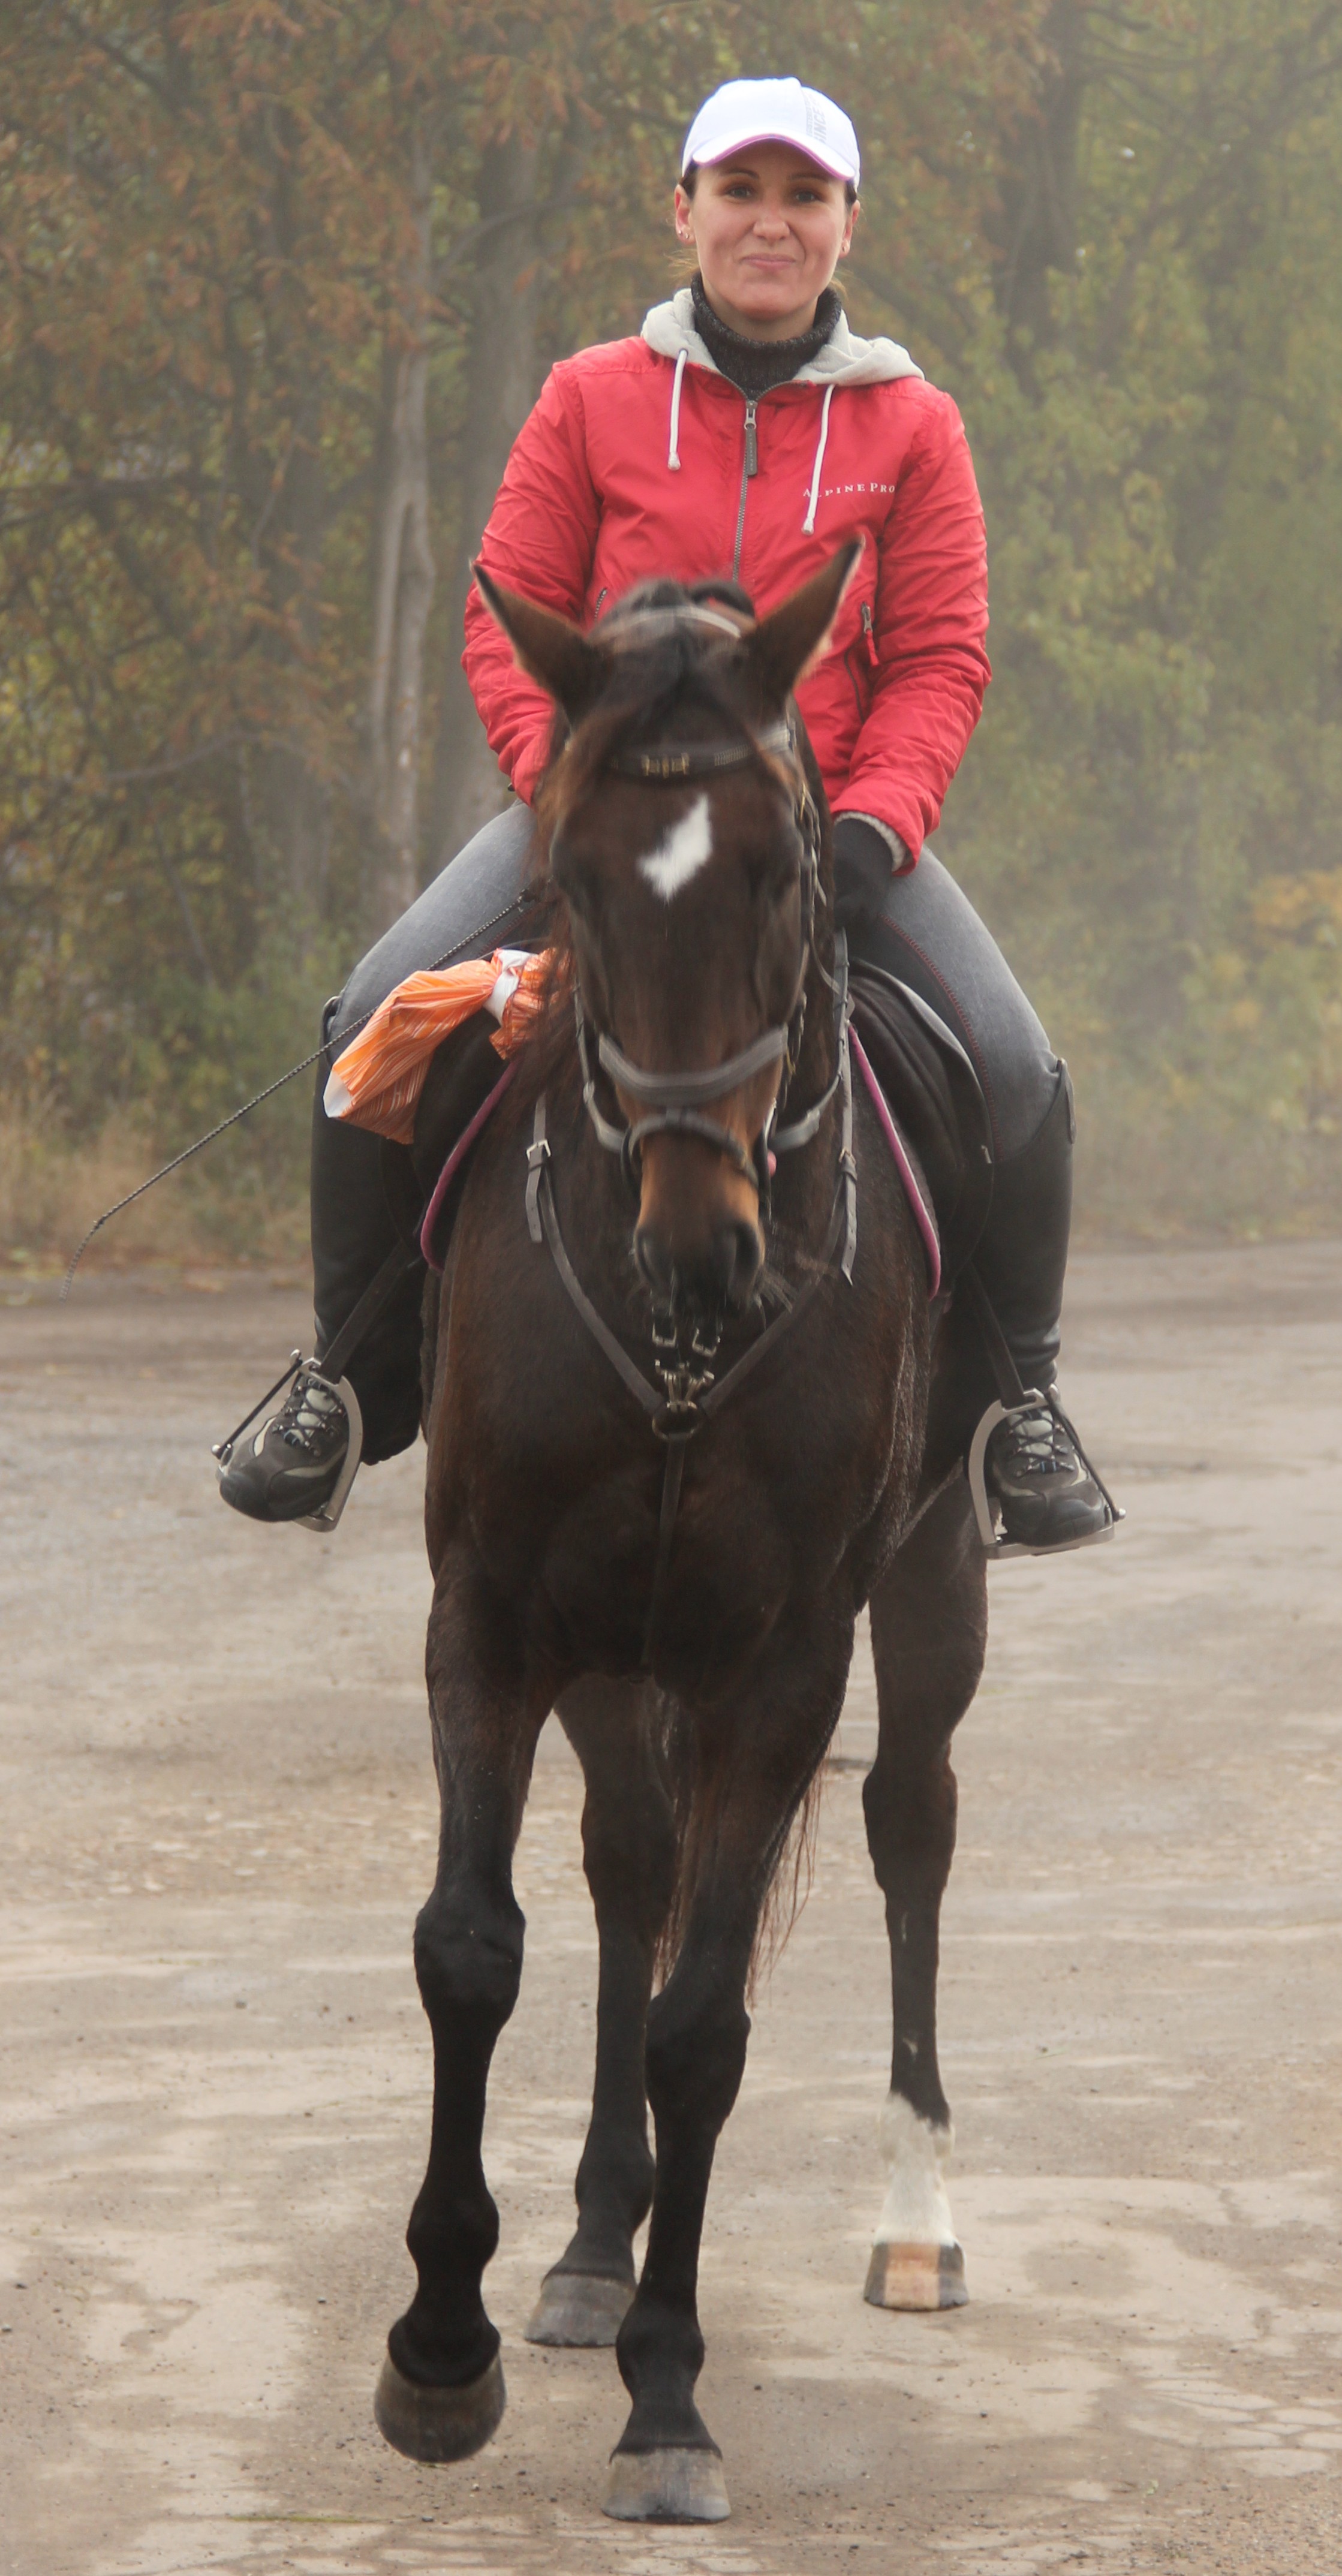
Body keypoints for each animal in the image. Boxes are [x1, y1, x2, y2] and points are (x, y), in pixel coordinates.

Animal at [371, 553, 989, 2524]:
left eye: (786, 864)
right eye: (571, 880)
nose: (702, 1245)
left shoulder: (778, 1669)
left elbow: (701, 2023)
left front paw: (666, 2403)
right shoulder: (491, 1617)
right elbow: (472, 1946)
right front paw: (440, 2350)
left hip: (927, 1588)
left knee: (908, 1828)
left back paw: (912, 2222)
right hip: (605, 1650)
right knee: (626, 1863)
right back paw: (583, 2242)